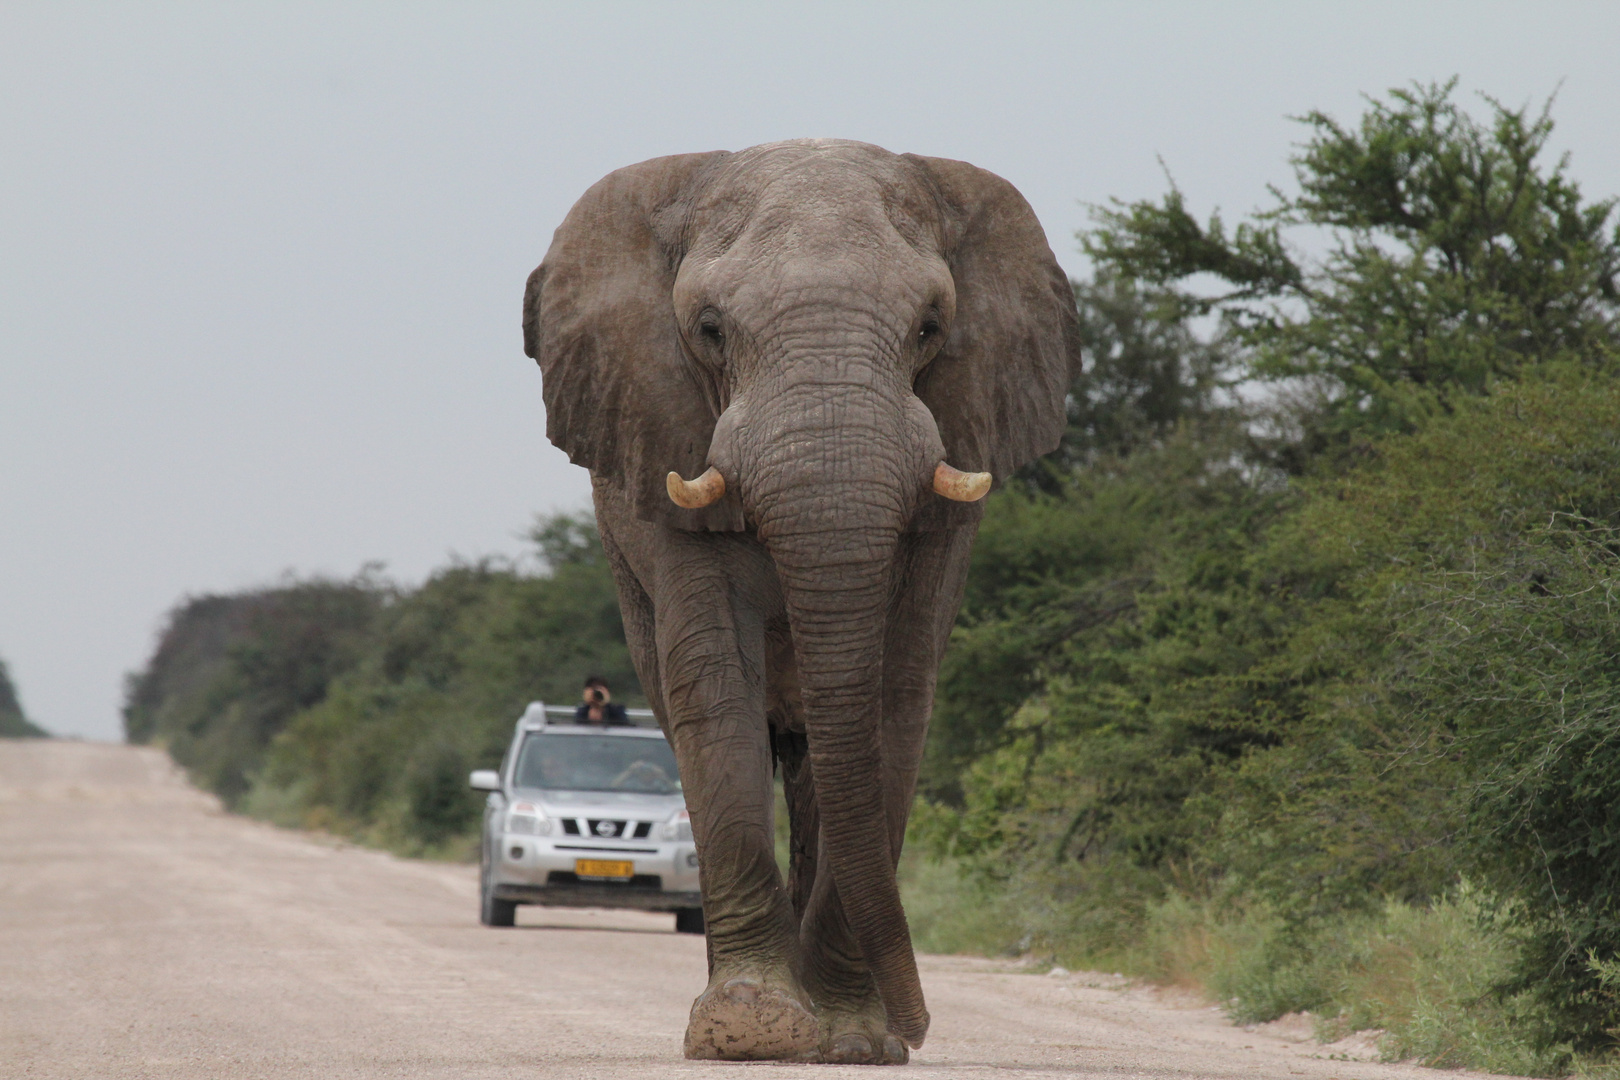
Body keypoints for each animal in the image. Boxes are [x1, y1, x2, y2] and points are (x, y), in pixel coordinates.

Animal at [518, 141, 1075, 1062]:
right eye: (710, 329)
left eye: (930, 326)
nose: (922, 1027)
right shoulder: (664, 437)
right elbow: (715, 694)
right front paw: (751, 1026)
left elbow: (895, 699)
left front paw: (852, 1041)